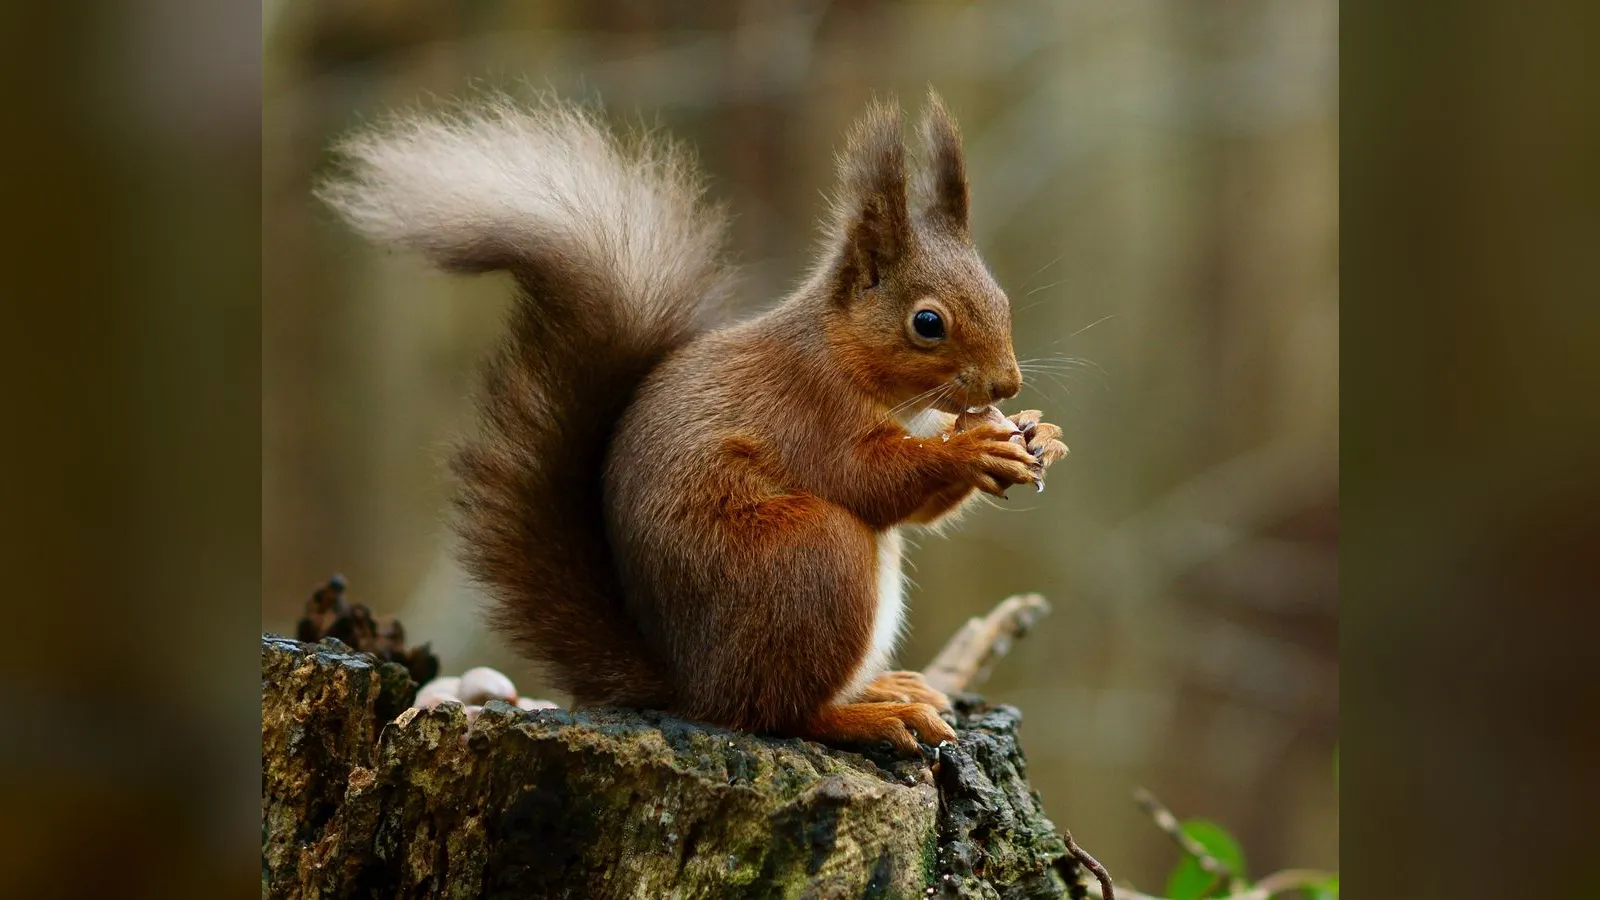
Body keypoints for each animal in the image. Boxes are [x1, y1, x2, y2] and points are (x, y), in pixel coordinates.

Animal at [318, 91, 1069, 755]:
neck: (844, 358)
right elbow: (869, 480)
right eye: (928, 323)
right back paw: (868, 717)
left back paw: (886, 688)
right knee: (775, 713)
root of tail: (690, 686)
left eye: (1000, 297)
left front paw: (1040, 434)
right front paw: (973, 448)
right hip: (809, 557)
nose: (1007, 383)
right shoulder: (807, 410)